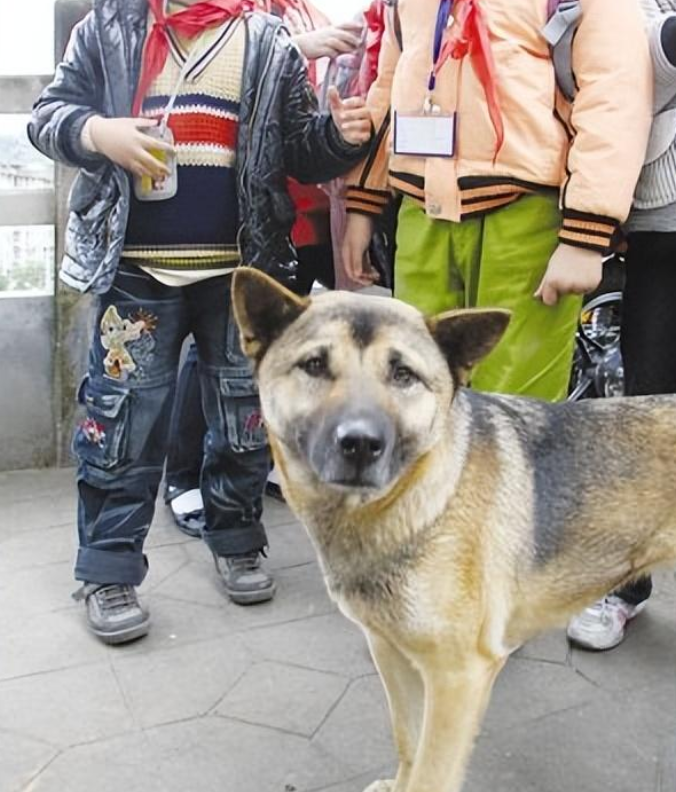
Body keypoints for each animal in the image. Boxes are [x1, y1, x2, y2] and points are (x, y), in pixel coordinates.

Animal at [232, 268, 676, 792]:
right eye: (315, 365)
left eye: (403, 375)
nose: (360, 444)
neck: (417, 499)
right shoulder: (392, 653)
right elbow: (408, 739)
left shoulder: (458, 677)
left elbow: (432, 771)